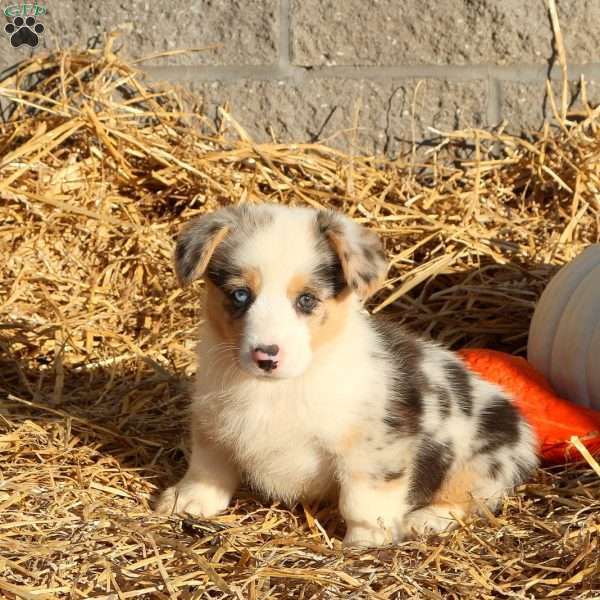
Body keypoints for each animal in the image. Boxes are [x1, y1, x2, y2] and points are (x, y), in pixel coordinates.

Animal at [156, 204, 540, 548]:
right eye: (240, 294)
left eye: (307, 300)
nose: (266, 356)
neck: (279, 388)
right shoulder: (213, 424)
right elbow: (207, 468)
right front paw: (186, 502)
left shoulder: (375, 448)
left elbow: (362, 502)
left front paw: (365, 543)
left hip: (481, 461)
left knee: (467, 499)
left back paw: (425, 520)